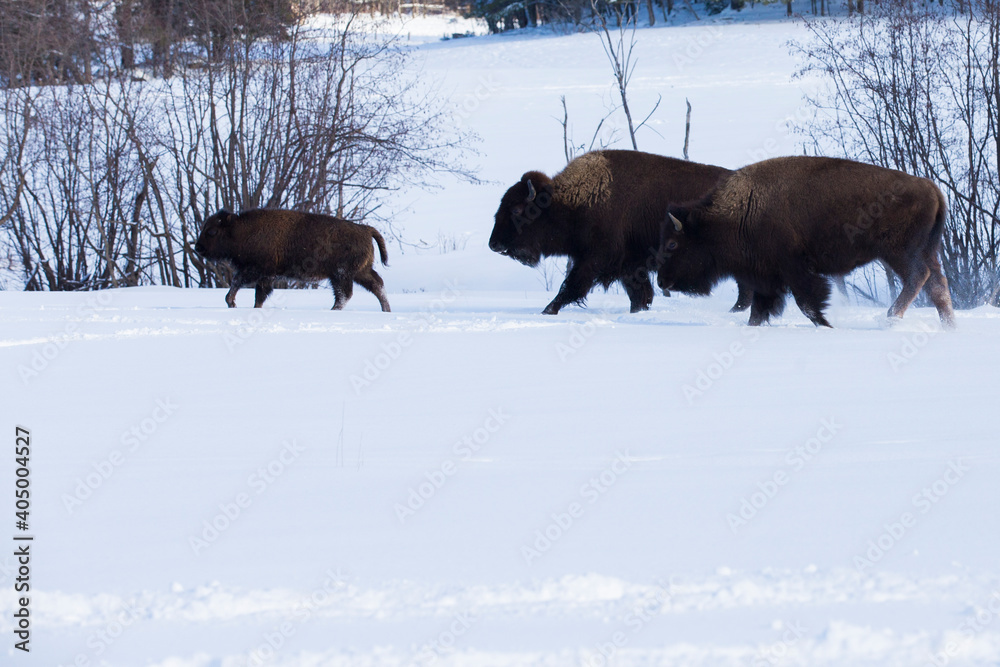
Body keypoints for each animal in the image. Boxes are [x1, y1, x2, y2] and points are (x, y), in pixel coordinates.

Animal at [194, 208, 391, 311]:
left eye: (212, 231)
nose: (197, 248)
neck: (240, 230)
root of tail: (365, 229)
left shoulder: (257, 271)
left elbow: (238, 282)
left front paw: (231, 302)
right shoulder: (265, 276)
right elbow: (259, 295)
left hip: (342, 274)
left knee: (345, 294)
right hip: (358, 273)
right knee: (376, 285)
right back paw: (385, 310)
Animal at [489, 150, 738, 314]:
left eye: (517, 209)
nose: (494, 244)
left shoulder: (596, 259)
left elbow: (572, 286)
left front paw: (547, 310)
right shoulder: (629, 266)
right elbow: (640, 297)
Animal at [657, 156, 955, 328]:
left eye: (672, 244)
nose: (661, 281)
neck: (740, 210)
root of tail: (930, 187)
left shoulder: (794, 270)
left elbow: (807, 303)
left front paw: (826, 325)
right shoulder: (765, 277)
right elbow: (759, 311)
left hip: (898, 251)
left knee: (919, 277)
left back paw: (892, 317)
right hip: (922, 251)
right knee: (937, 284)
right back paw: (948, 326)